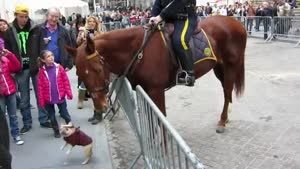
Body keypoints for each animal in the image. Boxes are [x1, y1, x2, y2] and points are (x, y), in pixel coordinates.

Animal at [67, 15, 246, 132]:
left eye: (97, 69)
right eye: (80, 73)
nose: (101, 105)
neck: (138, 50)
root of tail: (236, 22)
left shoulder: (156, 90)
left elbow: (161, 119)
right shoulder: (146, 92)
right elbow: (152, 119)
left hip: (231, 66)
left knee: (228, 90)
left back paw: (222, 121)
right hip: (219, 68)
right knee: (226, 91)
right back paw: (225, 118)